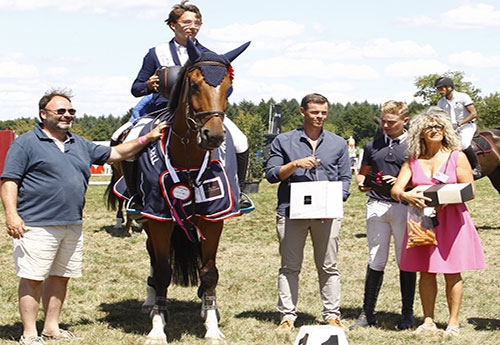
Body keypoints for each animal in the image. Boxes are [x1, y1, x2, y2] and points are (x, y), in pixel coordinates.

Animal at [110, 39, 250, 342]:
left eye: (227, 86)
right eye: (194, 85)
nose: (213, 136)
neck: (188, 160)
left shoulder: (213, 219)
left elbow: (209, 272)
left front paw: (212, 325)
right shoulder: (159, 219)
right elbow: (163, 270)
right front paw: (157, 327)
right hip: (148, 219)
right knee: (153, 258)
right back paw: (151, 301)